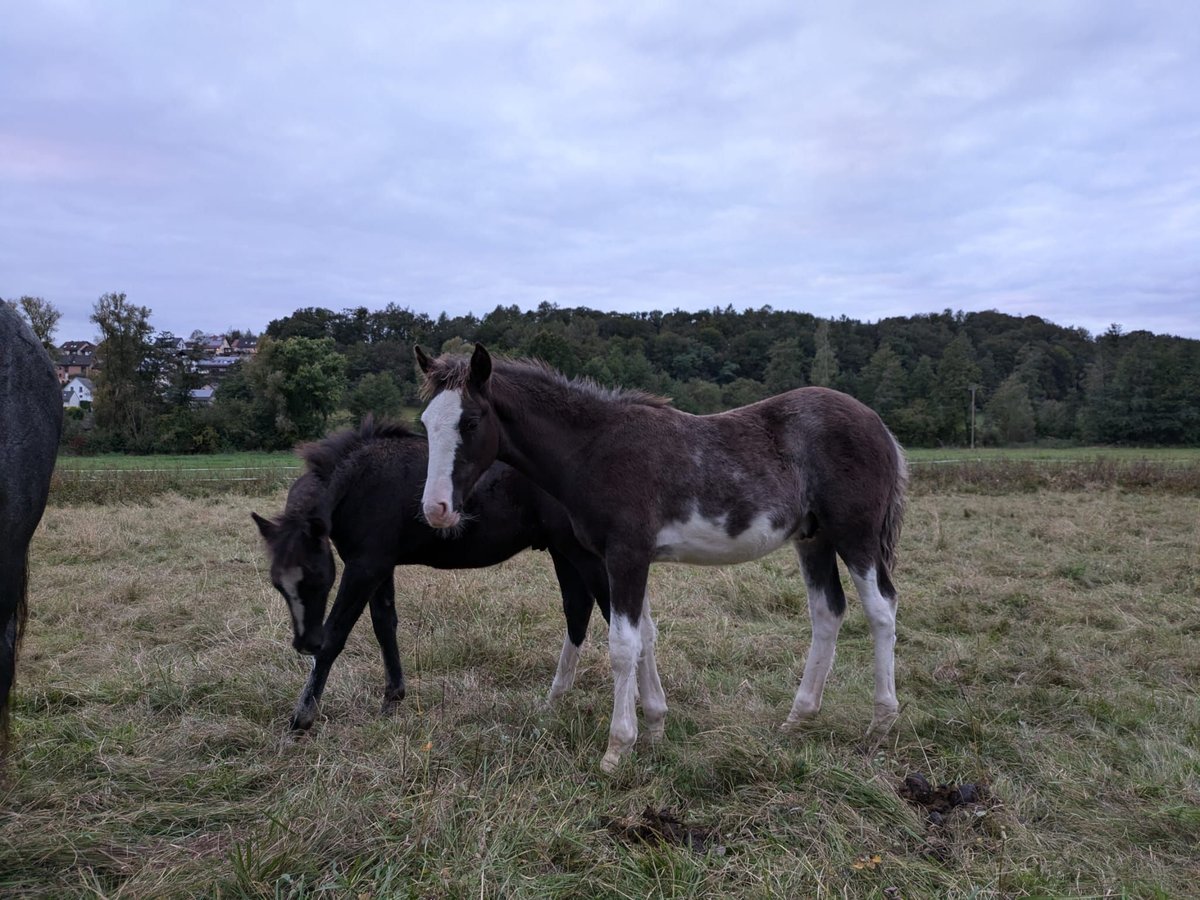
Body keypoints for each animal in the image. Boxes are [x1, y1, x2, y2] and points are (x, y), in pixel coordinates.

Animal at [250, 415, 609, 734]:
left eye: (317, 577)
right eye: (277, 584)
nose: (304, 643)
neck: (361, 480)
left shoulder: (364, 567)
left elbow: (336, 634)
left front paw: (302, 719)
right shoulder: (380, 564)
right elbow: (384, 625)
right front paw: (392, 701)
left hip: (583, 554)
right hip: (562, 551)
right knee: (578, 609)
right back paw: (554, 700)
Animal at [417, 345, 902, 777]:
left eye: (471, 421)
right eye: (425, 422)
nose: (436, 509)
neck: (594, 448)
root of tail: (879, 424)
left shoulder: (625, 555)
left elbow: (622, 646)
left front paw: (617, 749)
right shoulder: (627, 559)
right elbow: (646, 636)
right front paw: (654, 729)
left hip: (854, 535)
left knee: (881, 609)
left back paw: (880, 724)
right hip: (813, 539)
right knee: (827, 612)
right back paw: (798, 719)